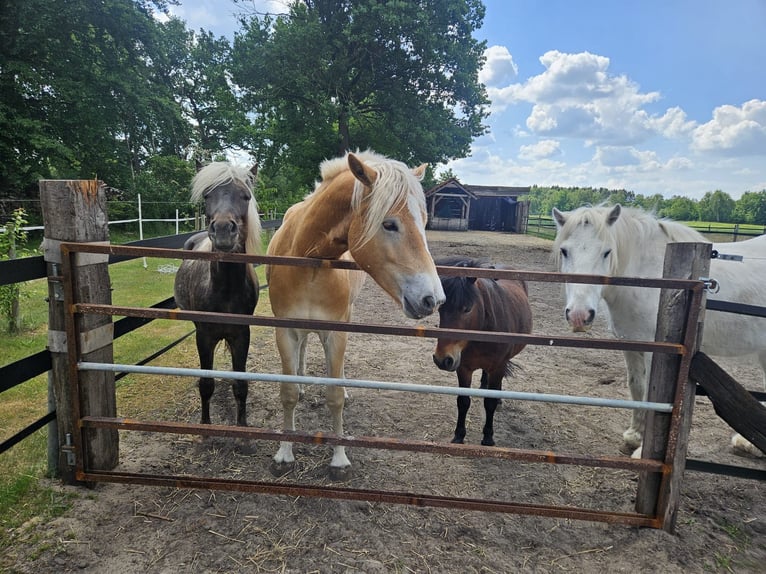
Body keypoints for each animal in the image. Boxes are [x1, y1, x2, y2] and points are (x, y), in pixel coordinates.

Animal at [174, 162, 261, 427]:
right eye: (207, 195)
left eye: (245, 196)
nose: (223, 230)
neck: (225, 291)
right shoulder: (204, 337)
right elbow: (206, 384)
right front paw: (205, 425)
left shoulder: (242, 336)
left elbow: (241, 385)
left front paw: (242, 426)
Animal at [266, 150, 445, 480]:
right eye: (389, 224)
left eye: (424, 222)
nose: (433, 299)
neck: (308, 260)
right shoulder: (285, 330)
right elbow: (288, 392)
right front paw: (284, 454)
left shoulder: (337, 333)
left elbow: (334, 397)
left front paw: (339, 459)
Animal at [433, 257, 532, 446]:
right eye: (440, 309)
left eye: (467, 308)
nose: (442, 359)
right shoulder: (463, 368)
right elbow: (463, 401)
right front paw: (459, 435)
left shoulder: (498, 367)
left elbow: (490, 402)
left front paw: (488, 437)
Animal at [552, 204, 766, 457]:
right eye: (564, 251)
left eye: (607, 252)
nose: (579, 316)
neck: (649, 275)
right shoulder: (632, 344)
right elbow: (637, 387)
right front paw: (634, 436)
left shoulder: (659, 352)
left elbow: (653, 396)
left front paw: (641, 451)